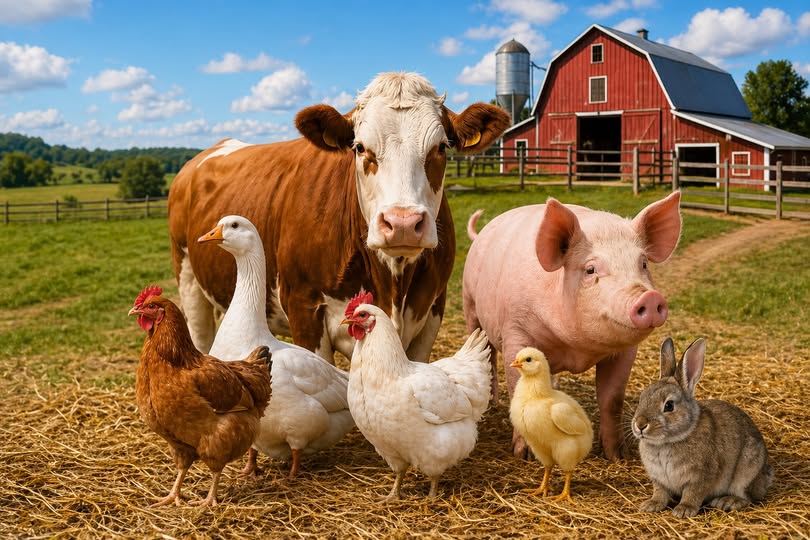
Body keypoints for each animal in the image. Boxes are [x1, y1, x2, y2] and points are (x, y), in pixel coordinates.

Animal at [168, 72, 510, 363]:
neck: (392, 284)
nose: (402, 224)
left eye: (441, 148)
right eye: (359, 147)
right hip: (188, 278)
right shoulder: (303, 308)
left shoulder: (433, 308)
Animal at [631, 337, 773, 518]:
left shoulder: (701, 477)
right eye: (642, 397)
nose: (640, 425)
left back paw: (727, 502)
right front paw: (651, 505)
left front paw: (684, 510)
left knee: (748, 497)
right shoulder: (659, 479)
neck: (670, 441)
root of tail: (765, 476)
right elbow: (660, 493)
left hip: (747, 473)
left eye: (669, 406)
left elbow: (693, 493)